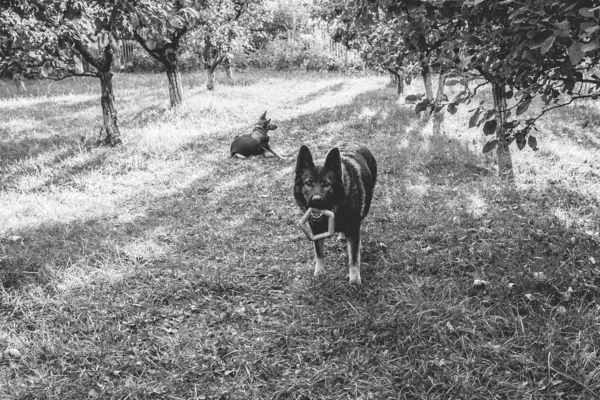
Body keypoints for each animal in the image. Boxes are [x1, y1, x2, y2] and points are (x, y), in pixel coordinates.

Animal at [294, 142, 378, 282]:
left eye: (326, 184)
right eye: (309, 183)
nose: (316, 200)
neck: (335, 208)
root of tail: (356, 143)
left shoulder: (353, 229)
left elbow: (353, 258)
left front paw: (354, 280)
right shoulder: (316, 231)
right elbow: (319, 252)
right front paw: (320, 272)